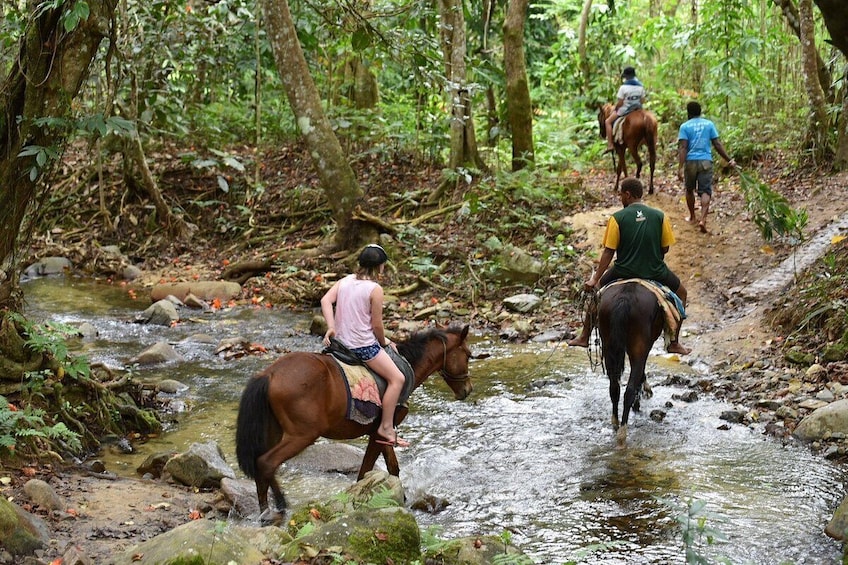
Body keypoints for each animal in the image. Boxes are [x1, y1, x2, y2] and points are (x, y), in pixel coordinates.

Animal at [235, 324, 474, 524]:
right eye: (468, 355)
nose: (468, 390)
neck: (406, 366)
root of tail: (269, 374)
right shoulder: (381, 431)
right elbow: (370, 469)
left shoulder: (381, 432)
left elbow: (390, 468)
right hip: (302, 435)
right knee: (266, 463)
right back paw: (276, 506)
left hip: (275, 432)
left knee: (262, 464)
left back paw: (270, 508)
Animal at [592, 282, 664, 446]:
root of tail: (625, 298)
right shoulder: (647, 344)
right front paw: (644, 392)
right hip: (638, 346)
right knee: (629, 389)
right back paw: (623, 432)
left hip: (608, 345)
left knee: (614, 387)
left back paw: (615, 423)